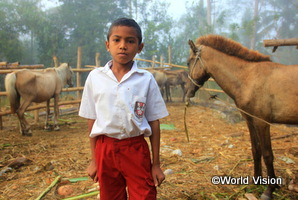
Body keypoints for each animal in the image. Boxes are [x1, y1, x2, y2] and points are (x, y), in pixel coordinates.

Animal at [187, 34, 296, 200]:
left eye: (188, 63)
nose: (188, 93)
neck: (248, 78)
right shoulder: (250, 121)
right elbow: (256, 150)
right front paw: (256, 181)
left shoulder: (262, 123)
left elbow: (267, 154)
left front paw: (269, 190)